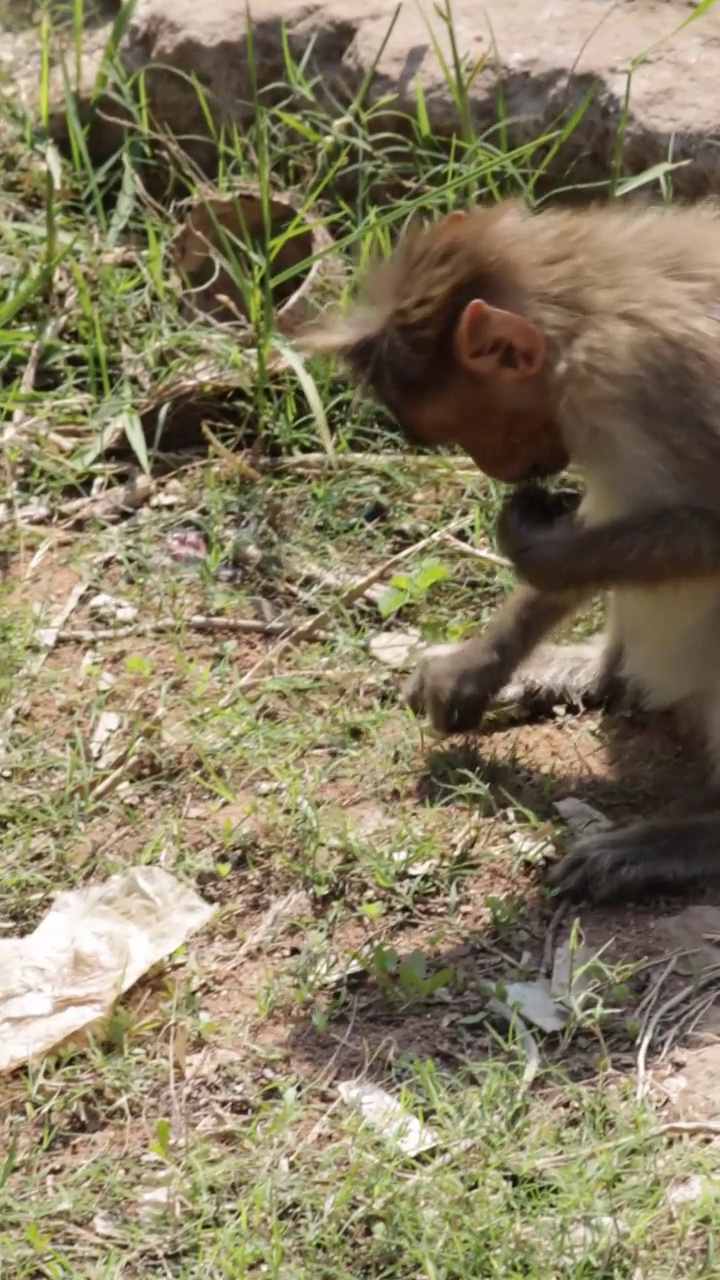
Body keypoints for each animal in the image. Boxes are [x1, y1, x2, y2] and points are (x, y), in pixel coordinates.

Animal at [301, 199, 720, 906]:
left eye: (467, 427)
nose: (494, 468)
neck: (588, 308)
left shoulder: (640, 375)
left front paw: (538, 551)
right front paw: (476, 668)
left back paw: (692, 836)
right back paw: (601, 672)